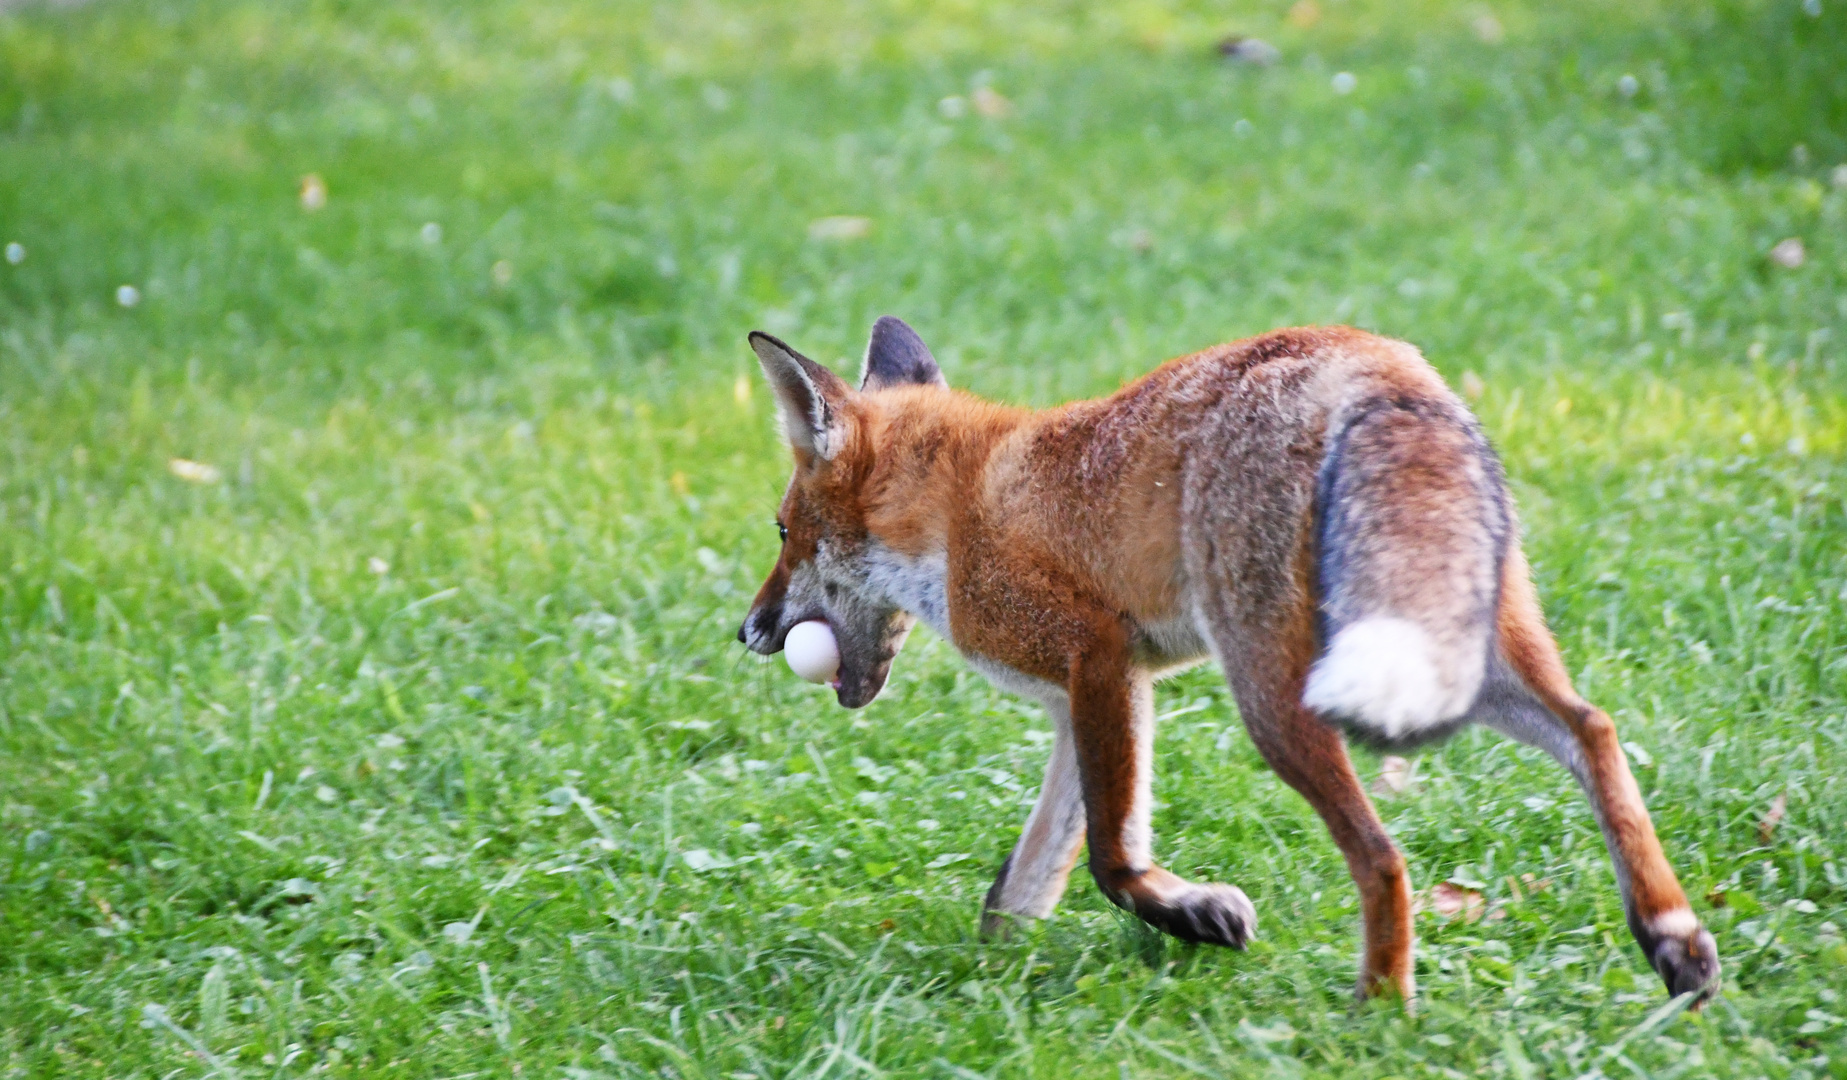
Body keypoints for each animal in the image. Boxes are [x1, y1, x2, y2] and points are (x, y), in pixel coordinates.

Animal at [735, 313, 1714, 1004]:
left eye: (781, 533)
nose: (746, 630)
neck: (952, 506)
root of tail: (1371, 359)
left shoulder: (1093, 656)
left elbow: (1107, 858)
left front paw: (1191, 917)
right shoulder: (1092, 693)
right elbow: (1031, 871)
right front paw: (993, 972)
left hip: (1276, 689)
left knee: (1383, 854)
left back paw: (1380, 1008)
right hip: (1454, 646)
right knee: (1591, 731)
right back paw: (1670, 934)